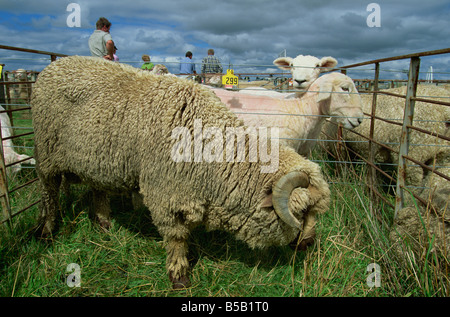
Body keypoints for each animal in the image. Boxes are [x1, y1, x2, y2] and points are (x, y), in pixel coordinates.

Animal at [29, 55, 328, 288]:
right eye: (302, 212)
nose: (309, 244)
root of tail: (53, 66)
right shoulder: (166, 194)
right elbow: (176, 237)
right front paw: (179, 276)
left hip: (97, 158)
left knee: (97, 188)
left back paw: (103, 225)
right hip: (46, 152)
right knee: (48, 192)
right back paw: (46, 231)